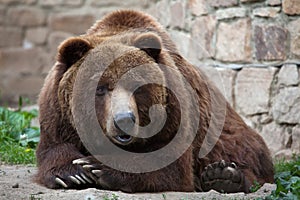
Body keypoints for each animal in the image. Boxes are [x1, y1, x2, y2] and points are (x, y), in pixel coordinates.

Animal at [35, 9, 274, 194]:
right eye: (100, 88)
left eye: (136, 84)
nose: (124, 119)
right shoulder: (57, 113)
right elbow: (53, 148)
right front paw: (74, 173)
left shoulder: (176, 115)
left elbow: (169, 164)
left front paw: (97, 166)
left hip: (231, 136)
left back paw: (224, 175)